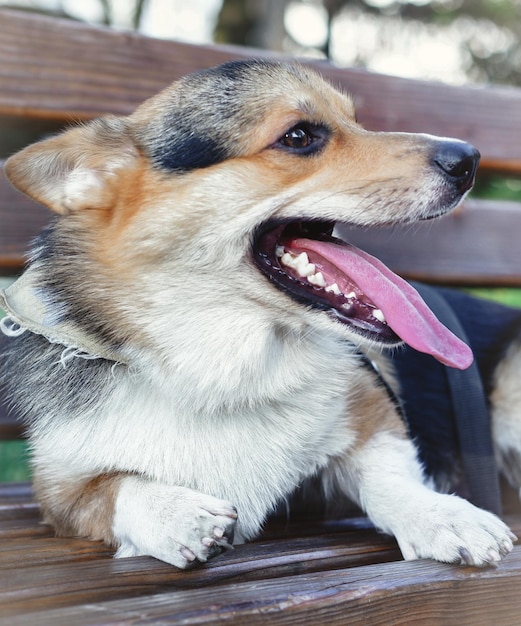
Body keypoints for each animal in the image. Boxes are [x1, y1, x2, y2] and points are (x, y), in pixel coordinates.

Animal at [0, 61, 516, 568]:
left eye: (355, 121)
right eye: (299, 136)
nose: (468, 159)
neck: (227, 367)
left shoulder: (374, 415)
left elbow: (390, 476)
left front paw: (444, 515)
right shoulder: (60, 488)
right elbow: (116, 489)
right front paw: (178, 515)